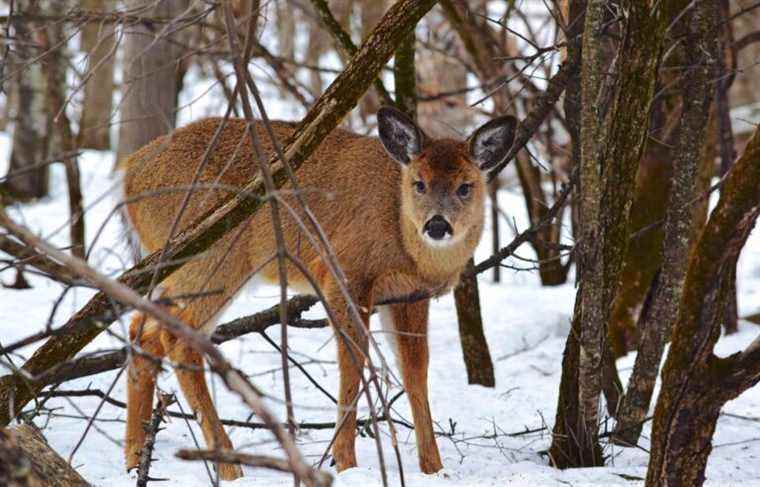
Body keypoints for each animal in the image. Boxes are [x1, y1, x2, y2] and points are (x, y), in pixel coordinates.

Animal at [121, 107, 516, 480]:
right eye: (419, 183)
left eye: (466, 186)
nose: (436, 225)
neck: (401, 236)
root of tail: (130, 174)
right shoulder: (343, 272)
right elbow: (353, 364)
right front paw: (346, 463)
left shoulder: (408, 295)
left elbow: (415, 371)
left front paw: (433, 468)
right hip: (214, 258)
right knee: (177, 338)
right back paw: (229, 467)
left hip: (186, 267)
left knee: (143, 328)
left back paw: (135, 458)